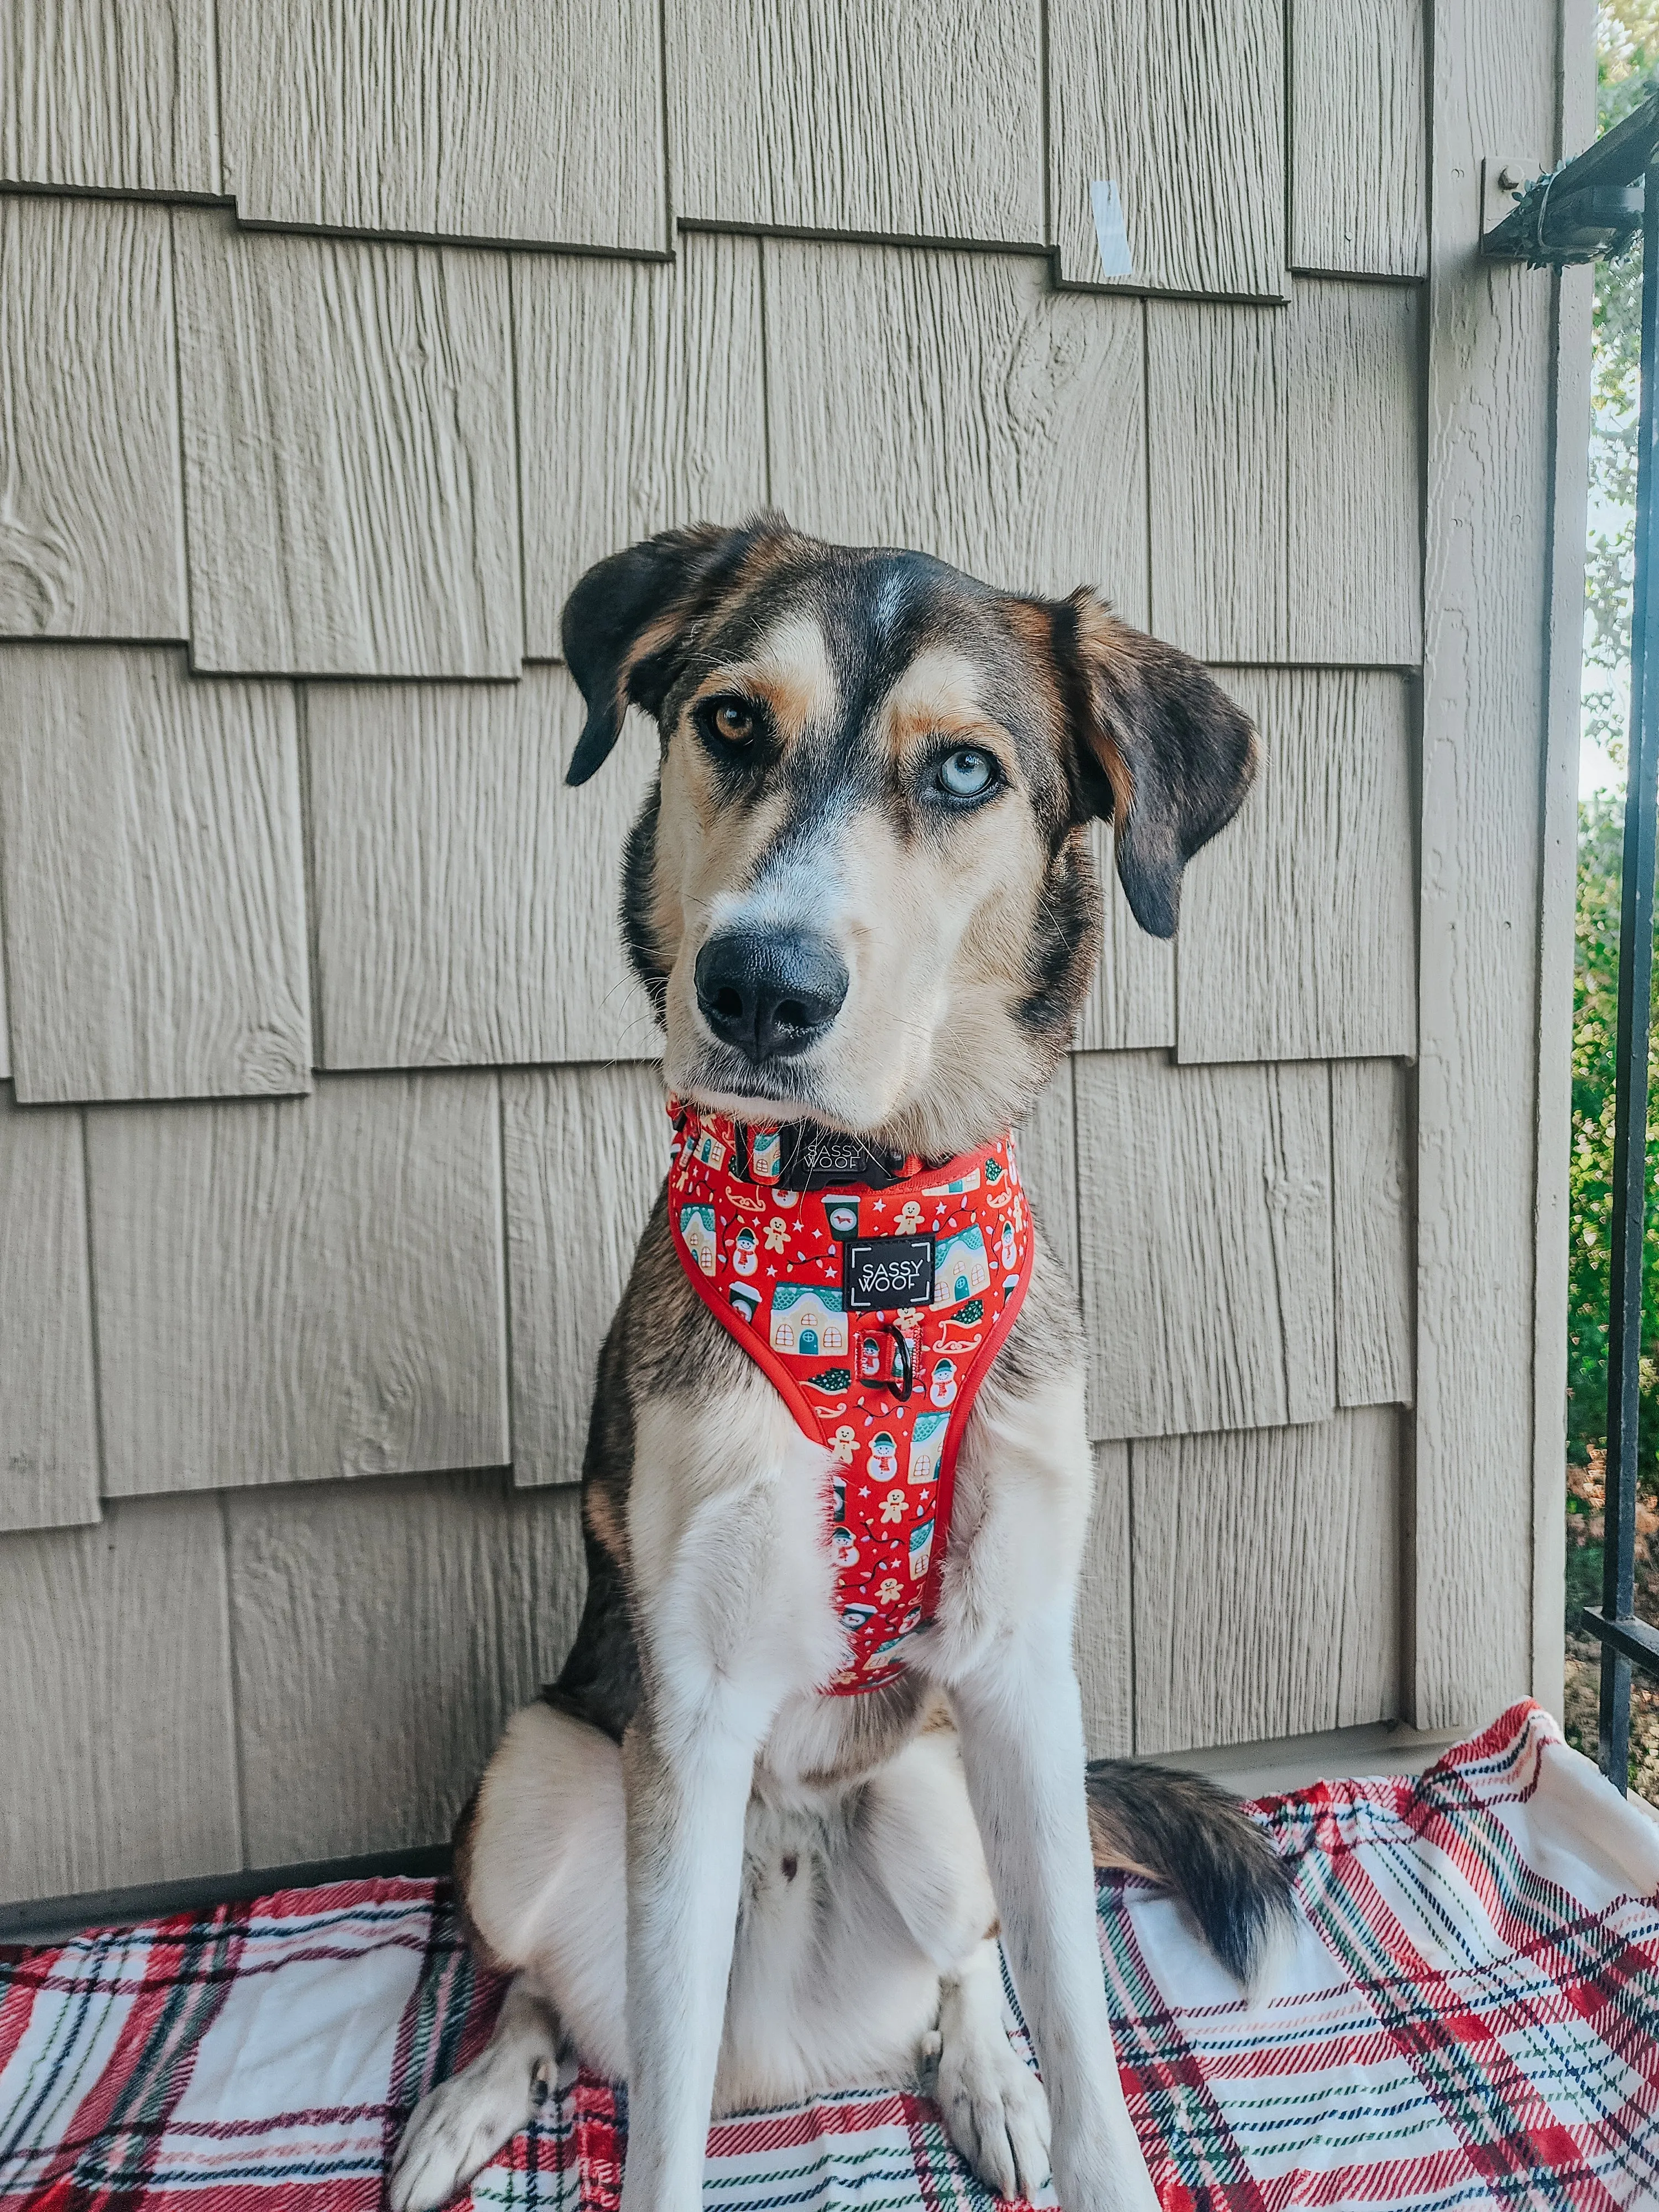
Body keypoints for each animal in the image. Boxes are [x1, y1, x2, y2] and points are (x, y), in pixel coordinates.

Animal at [396, 522, 1292, 2212]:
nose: (757, 986)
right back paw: (468, 2104)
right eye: (733, 722)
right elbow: (659, 2134)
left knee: (975, 1959)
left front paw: (1055, 2109)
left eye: (964, 771)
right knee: (559, 2003)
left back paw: (985, 2080)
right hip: (531, 1777)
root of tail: (794, 2052)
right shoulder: (689, 1706)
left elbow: (1085, 2029)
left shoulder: (1021, 1671)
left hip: (938, 1787)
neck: (861, 1226)